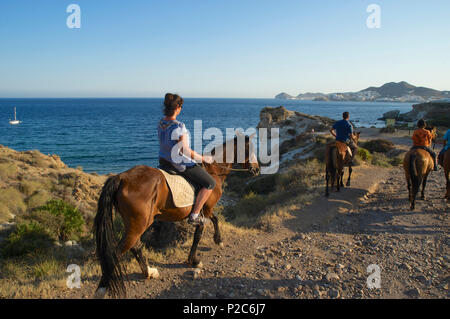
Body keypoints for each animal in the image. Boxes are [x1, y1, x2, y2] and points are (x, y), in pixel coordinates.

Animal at [92, 135, 260, 300]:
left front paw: (218, 240)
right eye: (250, 149)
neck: (214, 170)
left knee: (135, 246)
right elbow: (198, 234)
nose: (257, 169)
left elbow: (215, 219)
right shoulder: (205, 209)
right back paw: (101, 289)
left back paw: (149, 272)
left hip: (136, 224)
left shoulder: (205, 210)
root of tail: (121, 178)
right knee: (118, 252)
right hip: (139, 224)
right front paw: (194, 260)